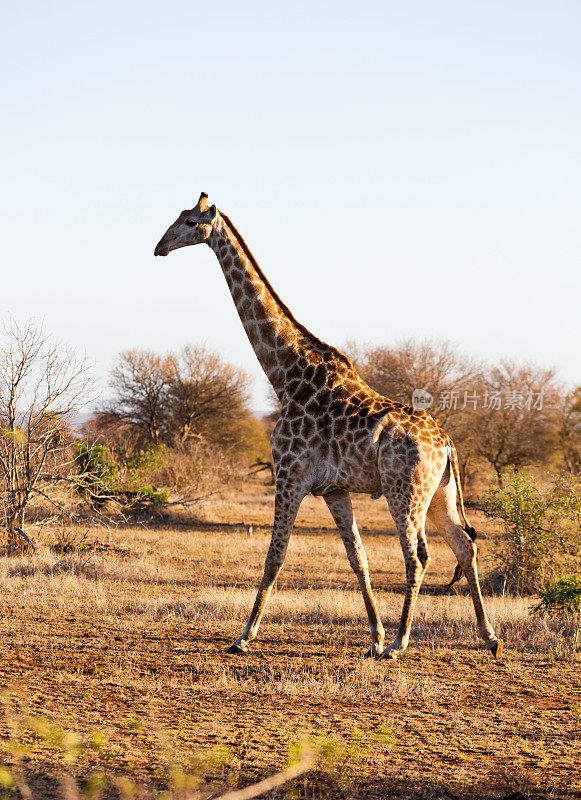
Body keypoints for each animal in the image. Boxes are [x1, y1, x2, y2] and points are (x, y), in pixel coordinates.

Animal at [155, 191, 502, 660]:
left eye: (191, 222)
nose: (159, 247)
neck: (285, 376)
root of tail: (447, 444)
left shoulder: (289, 475)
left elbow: (275, 555)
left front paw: (244, 636)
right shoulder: (334, 489)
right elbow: (358, 558)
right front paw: (373, 636)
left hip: (404, 491)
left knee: (418, 555)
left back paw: (402, 641)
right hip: (440, 492)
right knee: (464, 545)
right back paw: (489, 637)